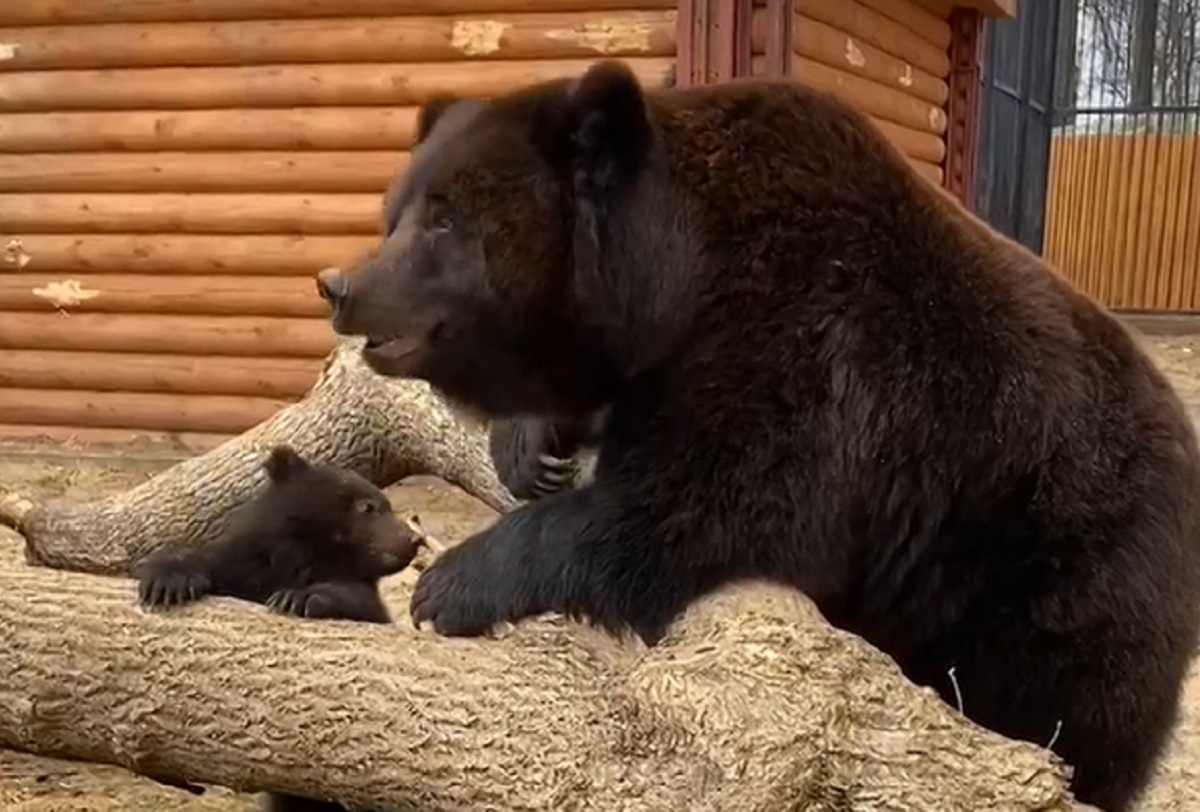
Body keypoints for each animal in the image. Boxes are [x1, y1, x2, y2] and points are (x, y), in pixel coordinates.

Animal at [316, 60, 1200, 806]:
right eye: (397, 211)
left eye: (445, 219)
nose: (342, 285)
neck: (679, 280)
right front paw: (531, 447)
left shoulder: (806, 339)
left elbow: (708, 508)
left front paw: (452, 583)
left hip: (1051, 554)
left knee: (1062, 705)